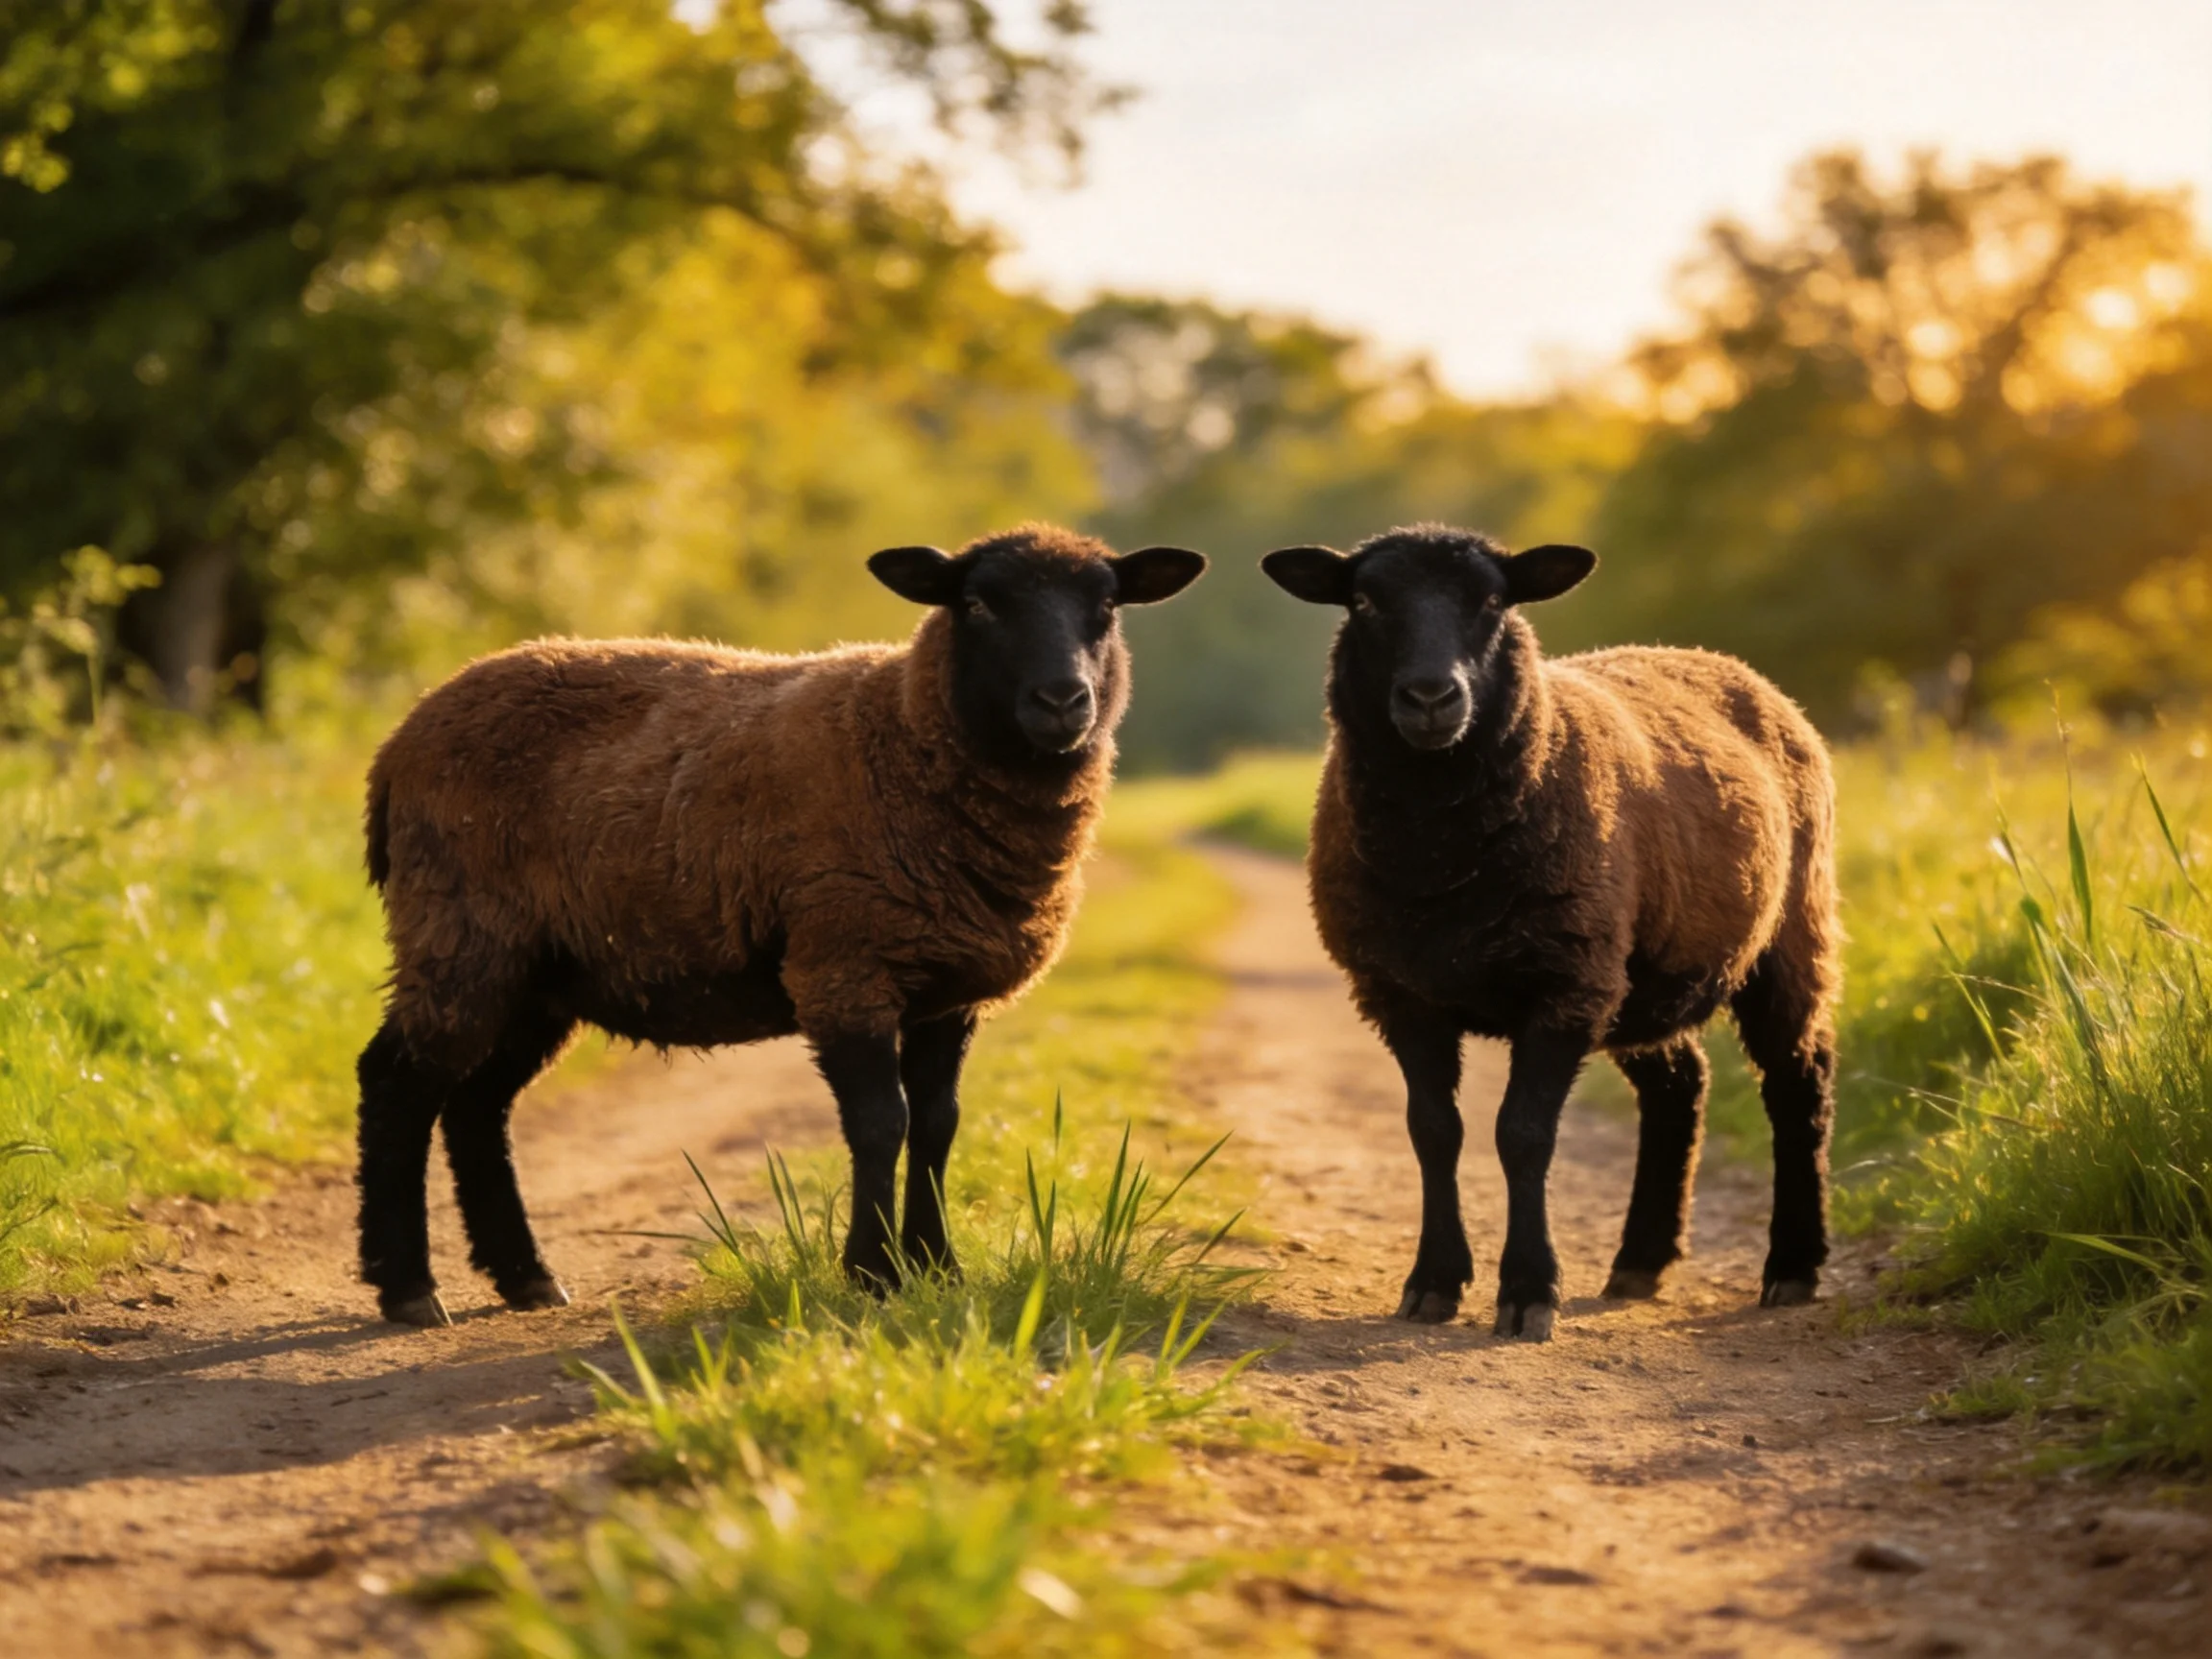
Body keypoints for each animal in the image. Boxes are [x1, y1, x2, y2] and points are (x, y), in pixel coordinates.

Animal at [356, 523, 1206, 1327]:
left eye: (1107, 607)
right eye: (977, 603)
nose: (1063, 701)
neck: (903, 734)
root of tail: (398, 744)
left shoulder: (947, 989)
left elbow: (938, 1123)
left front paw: (938, 1268)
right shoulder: (843, 963)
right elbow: (880, 1122)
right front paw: (873, 1273)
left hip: (539, 971)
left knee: (477, 1104)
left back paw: (527, 1278)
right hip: (459, 930)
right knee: (397, 1082)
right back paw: (409, 1288)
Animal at [1261, 524, 1839, 1341]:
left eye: (1493, 601)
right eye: (1365, 601)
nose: (1432, 697)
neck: (1439, 863)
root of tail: (1721, 661)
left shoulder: (1562, 987)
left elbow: (1522, 1135)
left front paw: (1529, 1291)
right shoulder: (1400, 993)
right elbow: (1433, 1131)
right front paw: (1433, 1282)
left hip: (1787, 933)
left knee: (1799, 1082)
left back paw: (1793, 1265)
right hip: (1636, 974)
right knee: (1679, 1086)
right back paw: (1641, 1262)